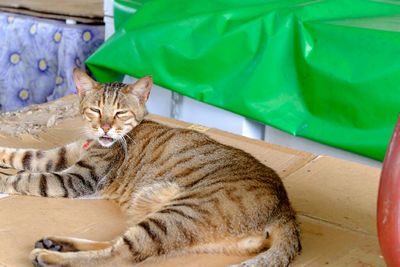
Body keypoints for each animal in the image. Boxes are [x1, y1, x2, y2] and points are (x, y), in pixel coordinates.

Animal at [0, 69, 300, 267]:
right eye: (96, 110)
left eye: (120, 113)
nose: (105, 128)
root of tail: (287, 210)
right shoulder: (61, 156)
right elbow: (23, 156)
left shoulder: (77, 179)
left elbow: (26, 177)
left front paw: (5, 182)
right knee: (117, 245)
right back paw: (55, 243)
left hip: (178, 214)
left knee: (119, 255)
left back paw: (50, 256)